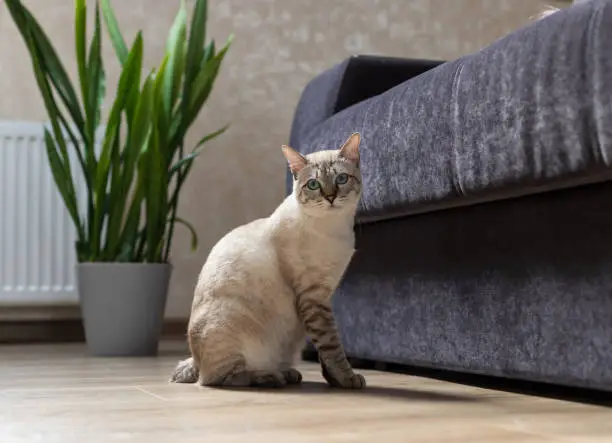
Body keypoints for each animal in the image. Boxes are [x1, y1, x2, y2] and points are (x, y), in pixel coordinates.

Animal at [170, 134, 366, 390]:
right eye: (313, 185)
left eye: (341, 179)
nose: (330, 197)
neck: (335, 229)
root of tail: (195, 359)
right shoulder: (313, 297)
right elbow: (331, 345)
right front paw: (346, 379)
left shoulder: (325, 295)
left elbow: (325, 348)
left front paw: (334, 380)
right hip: (230, 329)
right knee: (218, 379)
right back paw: (271, 377)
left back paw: (288, 373)